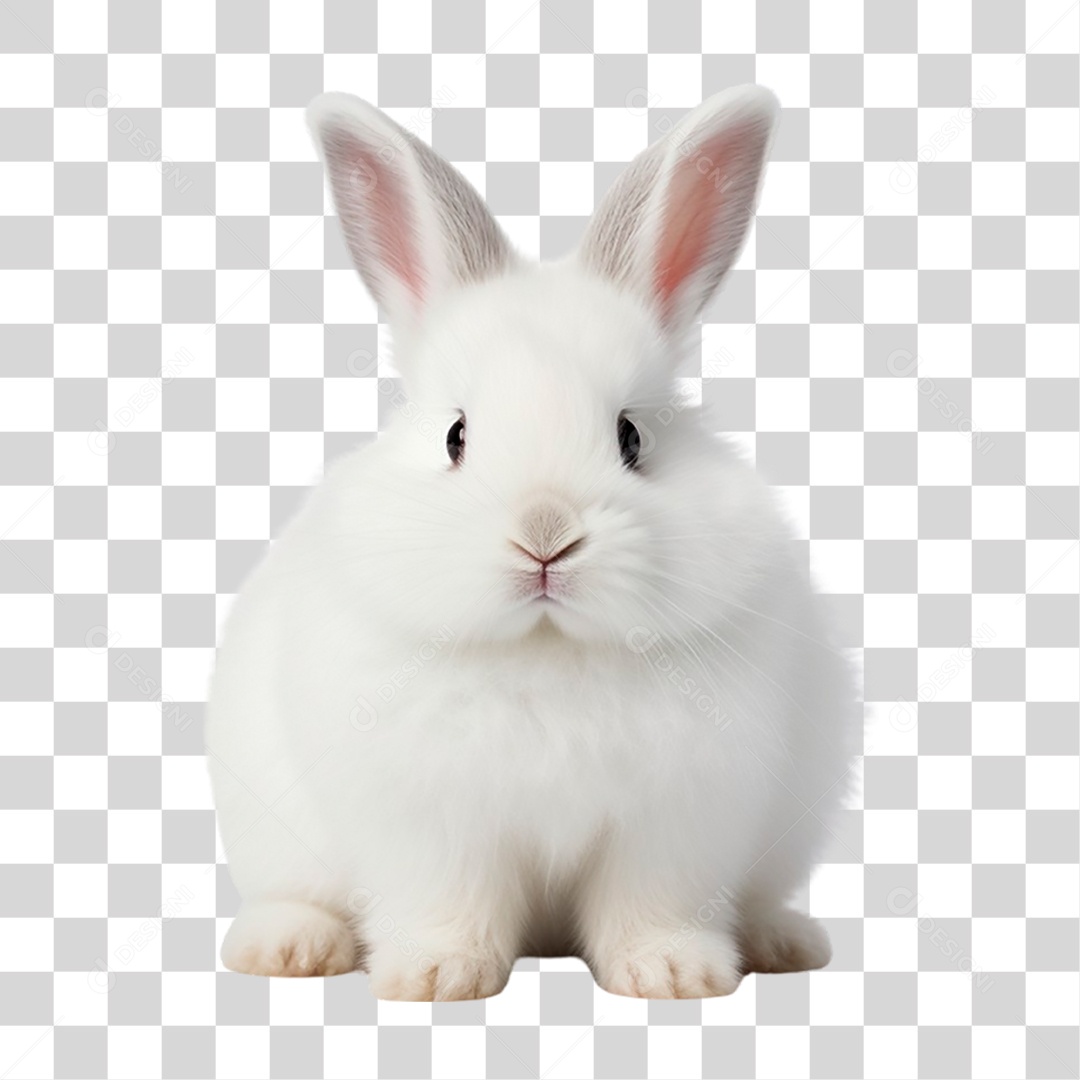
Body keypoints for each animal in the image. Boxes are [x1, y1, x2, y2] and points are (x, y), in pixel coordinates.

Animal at [205, 84, 862, 1001]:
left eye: (630, 437)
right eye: (456, 435)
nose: (544, 538)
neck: (549, 649)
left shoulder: (675, 827)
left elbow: (652, 904)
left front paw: (674, 975)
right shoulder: (432, 827)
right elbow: (449, 902)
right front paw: (436, 976)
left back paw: (782, 940)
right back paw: (288, 948)